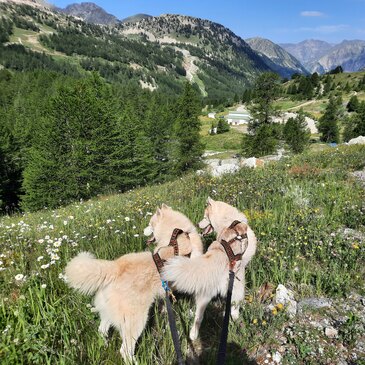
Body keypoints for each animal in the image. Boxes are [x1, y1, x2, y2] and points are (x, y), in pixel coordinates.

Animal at [64, 205, 202, 362]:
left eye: (150, 223)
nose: (143, 229)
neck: (175, 234)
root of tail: (115, 267)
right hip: (136, 320)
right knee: (125, 349)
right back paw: (135, 361)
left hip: (108, 313)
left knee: (102, 330)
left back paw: (104, 344)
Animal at [162, 198, 256, 340]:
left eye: (205, 217)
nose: (198, 223)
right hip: (236, 287)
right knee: (234, 308)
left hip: (205, 294)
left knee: (198, 317)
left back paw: (193, 335)